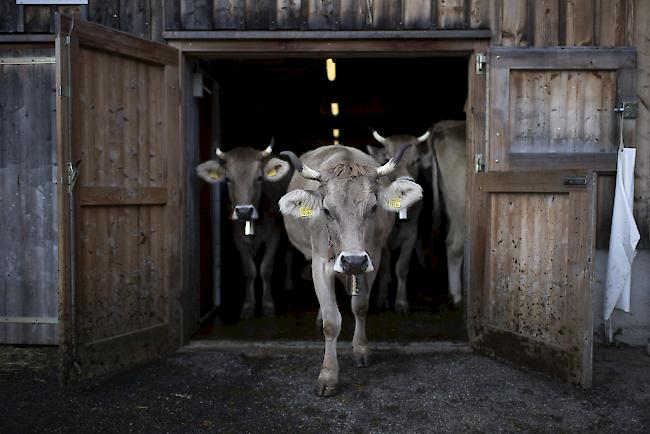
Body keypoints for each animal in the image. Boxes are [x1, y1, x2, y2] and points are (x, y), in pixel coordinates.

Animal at [278, 146, 420, 396]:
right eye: (326, 210)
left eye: (373, 207)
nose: (353, 260)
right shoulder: (319, 264)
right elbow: (331, 322)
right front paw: (328, 376)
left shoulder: (372, 259)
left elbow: (360, 307)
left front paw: (361, 350)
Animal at [364, 130, 430, 316]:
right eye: (386, 159)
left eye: (417, 160)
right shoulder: (382, 240)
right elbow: (384, 267)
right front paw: (382, 298)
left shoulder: (411, 236)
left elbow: (401, 268)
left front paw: (401, 303)